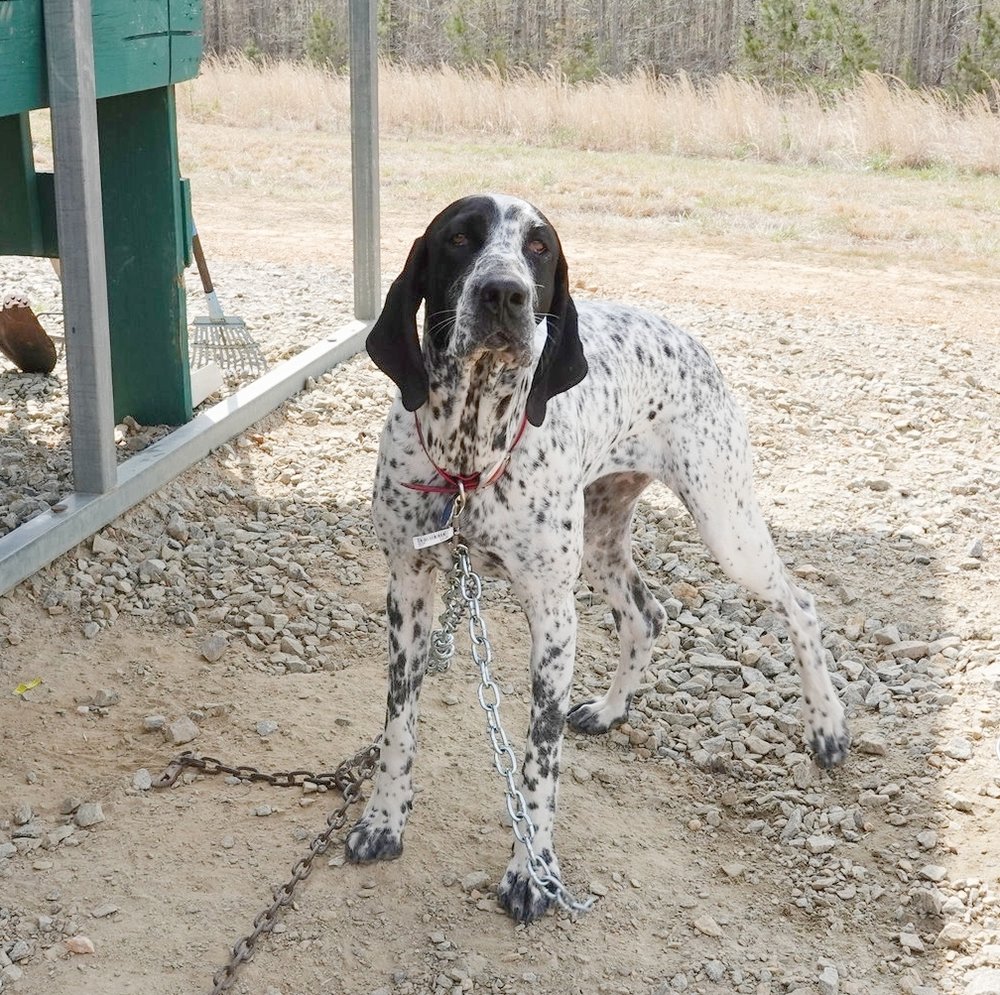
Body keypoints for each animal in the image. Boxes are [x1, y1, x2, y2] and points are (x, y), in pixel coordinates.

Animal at [346, 195, 852, 924]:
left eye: (539, 248)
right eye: (459, 239)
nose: (505, 293)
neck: (470, 453)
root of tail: (686, 336)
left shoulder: (553, 616)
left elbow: (538, 763)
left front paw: (533, 872)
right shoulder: (409, 592)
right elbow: (398, 727)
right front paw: (384, 820)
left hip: (727, 527)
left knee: (800, 602)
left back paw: (828, 726)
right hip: (603, 537)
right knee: (648, 614)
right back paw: (613, 709)